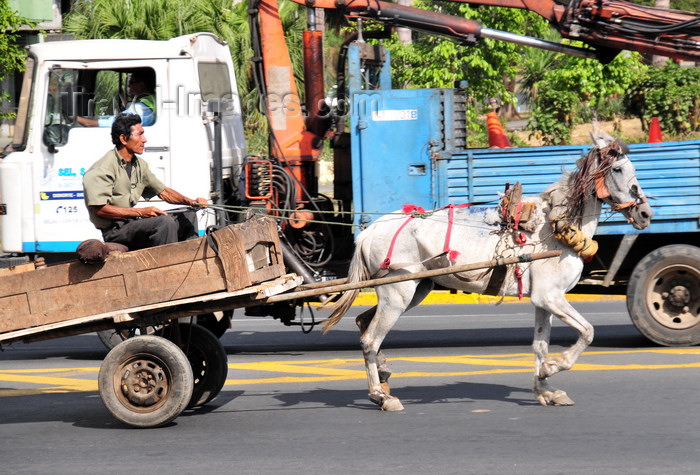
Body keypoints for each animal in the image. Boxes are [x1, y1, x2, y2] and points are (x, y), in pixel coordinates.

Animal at [326, 134, 652, 412]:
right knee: (371, 339)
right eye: (619, 169)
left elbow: (540, 345)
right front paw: (553, 368)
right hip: (397, 293)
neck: (556, 228)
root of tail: (369, 231)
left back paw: (383, 377)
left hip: (414, 289)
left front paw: (545, 390)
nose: (645, 213)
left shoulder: (543, 301)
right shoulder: (551, 297)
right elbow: (587, 332)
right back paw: (380, 396)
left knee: (363, 323)